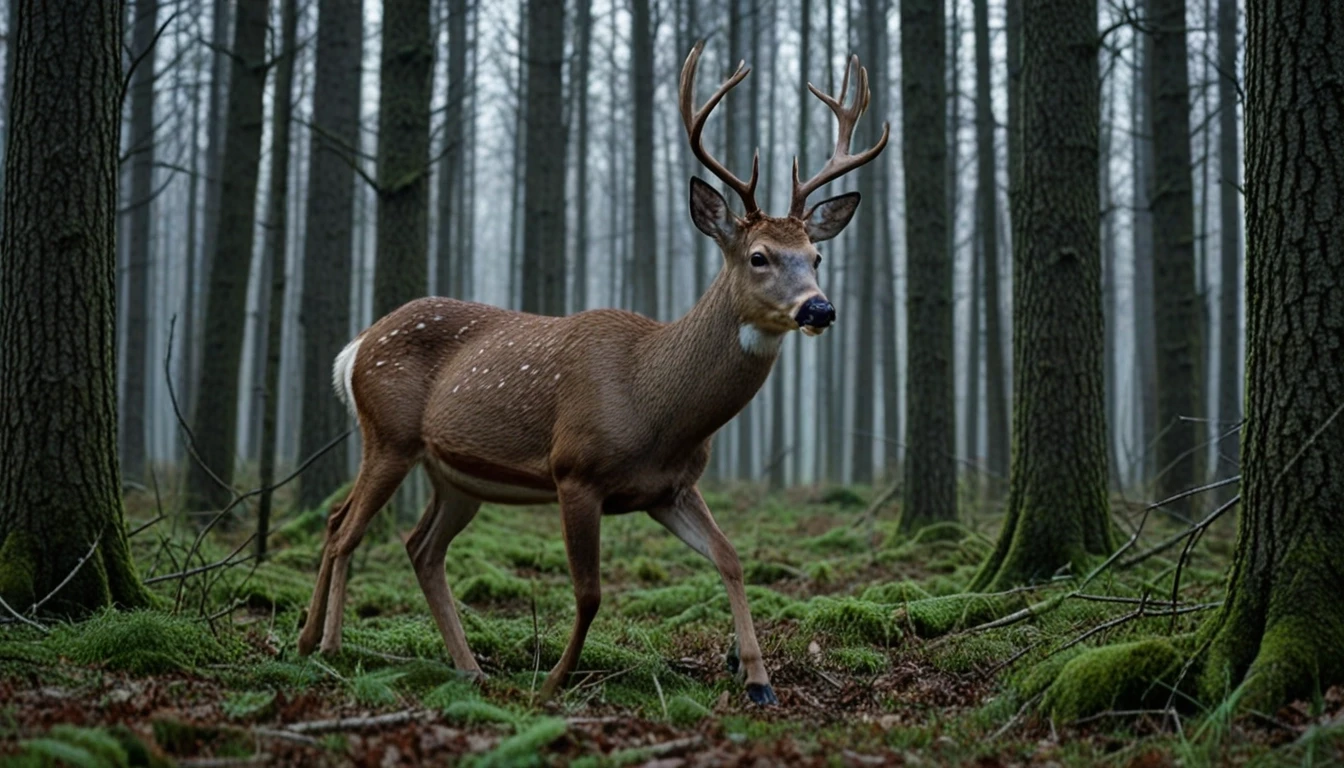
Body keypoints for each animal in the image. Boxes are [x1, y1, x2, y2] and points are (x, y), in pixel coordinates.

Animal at [297, 41, 888, 706]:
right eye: (759, 256)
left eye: (816, 256)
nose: (820, 309)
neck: (654, 404)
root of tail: (355, 348)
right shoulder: (575, 470)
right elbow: (590, 592)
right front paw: (554, 681)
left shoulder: (670, 488)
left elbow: (730, 557)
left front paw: (758, 679)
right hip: (388, 434)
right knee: (342, 526)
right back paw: (319, 644)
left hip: (453, 475)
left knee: (418, 547)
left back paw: (465, 666)